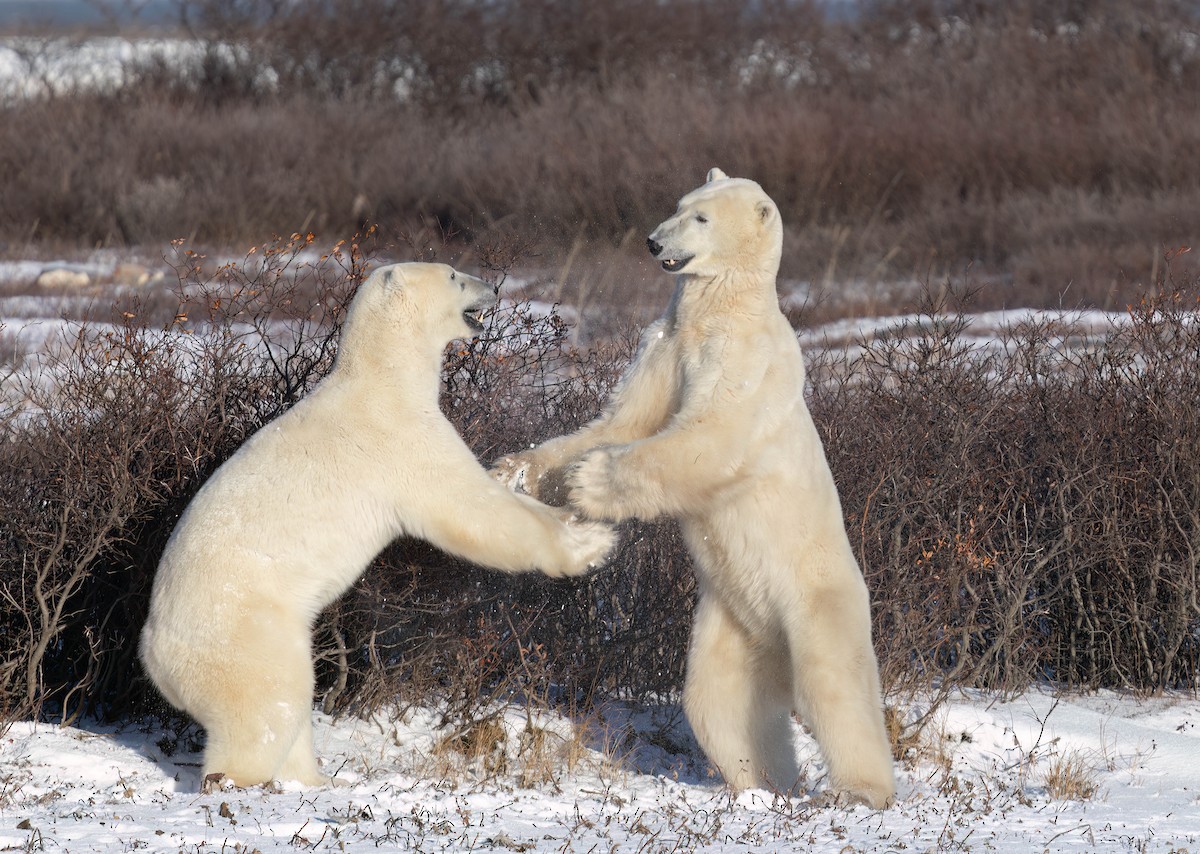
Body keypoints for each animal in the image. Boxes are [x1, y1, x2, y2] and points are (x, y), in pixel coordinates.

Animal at [140, 262, 616, 791]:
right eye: (454, 275)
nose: (492, 288)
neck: (382, 380)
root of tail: (154, 657)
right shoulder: (403, 442)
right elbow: (472, 510)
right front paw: (591, 546)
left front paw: (576, 515)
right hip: (246, 630)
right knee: (266, 707)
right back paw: (248, 781)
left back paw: (317, 780)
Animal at [492, 170, 896, 809]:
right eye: (678, 205)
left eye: (702, 218)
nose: (654, 242)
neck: (721, 309)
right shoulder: (667, 343)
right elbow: (623, 420)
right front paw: (517, 469)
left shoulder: (743, 357)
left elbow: (708, 435)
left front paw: (589, 479)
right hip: (732, 623)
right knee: (721, 704)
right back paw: (762, 784)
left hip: (816, 600)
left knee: (835, 688)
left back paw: (856, 791)